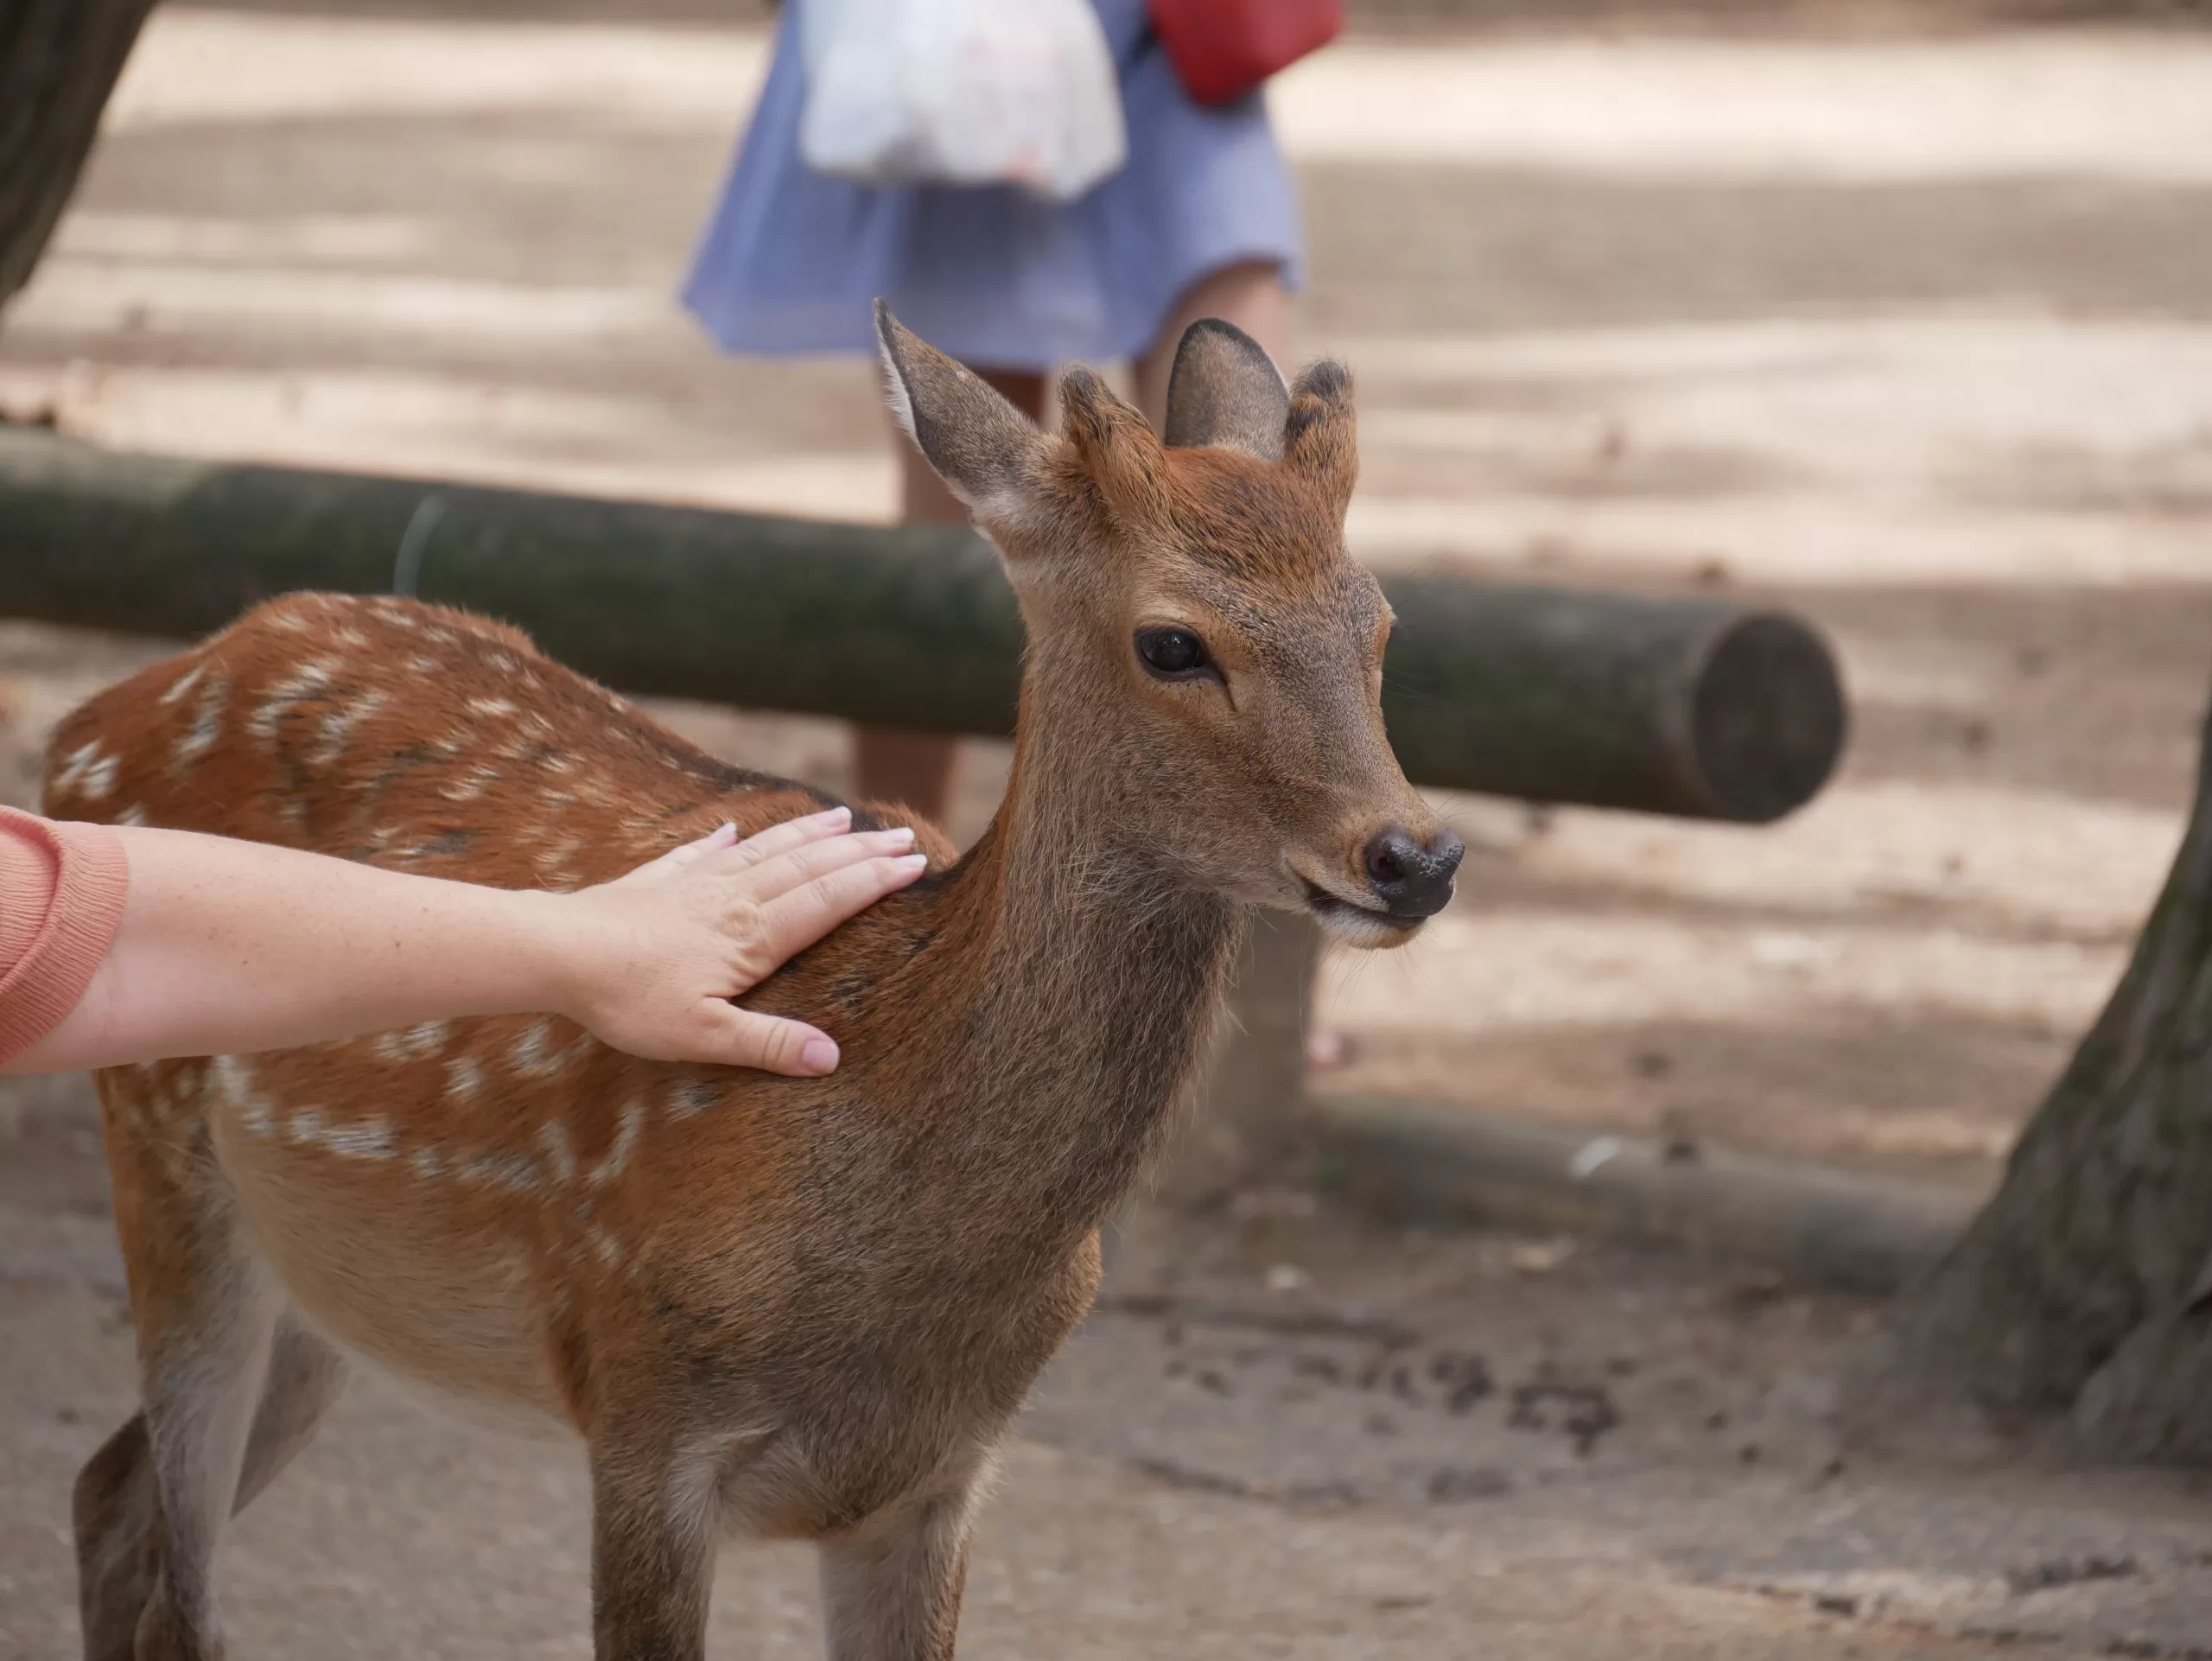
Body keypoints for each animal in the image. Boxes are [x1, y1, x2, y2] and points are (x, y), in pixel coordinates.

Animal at [42, 302, 1459, 1661]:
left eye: (1382, 623)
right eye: (1171, 642)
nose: (1414, 855)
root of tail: (86, 722)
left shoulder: (939, 1477)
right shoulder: (644, 1408)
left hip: (331, 1288)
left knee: (106, 1494)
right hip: (165, 1161)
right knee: (176, 1592)